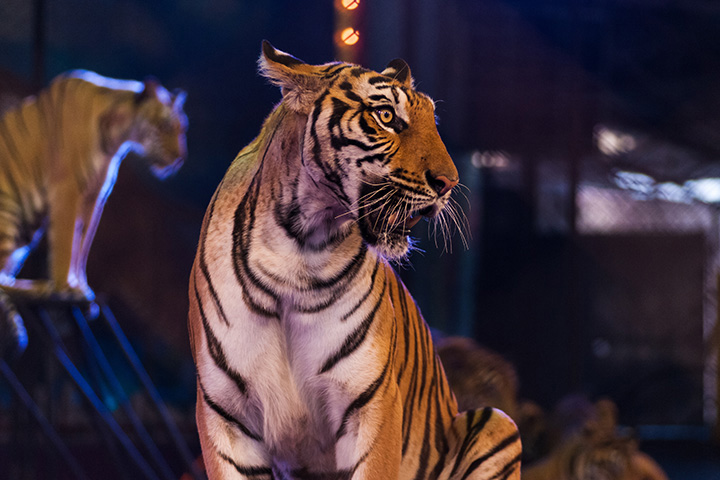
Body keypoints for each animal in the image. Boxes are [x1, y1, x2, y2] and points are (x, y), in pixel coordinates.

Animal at [0, 70, 188, 359]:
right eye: (166, 125)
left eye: (183, 129)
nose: (179, 158)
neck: (118, 136)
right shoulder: (67, 189)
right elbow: (66, 243)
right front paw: (65, 288)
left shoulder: (95, 196)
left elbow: (82, 245)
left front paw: (80, 287)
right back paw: (41, 286)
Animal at [188, 41, 522, 479]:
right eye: (386, 116)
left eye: (432, 121)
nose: (449, 183)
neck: (298, 247)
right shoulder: (224, 414)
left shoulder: (371, 403)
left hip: (499, 422)